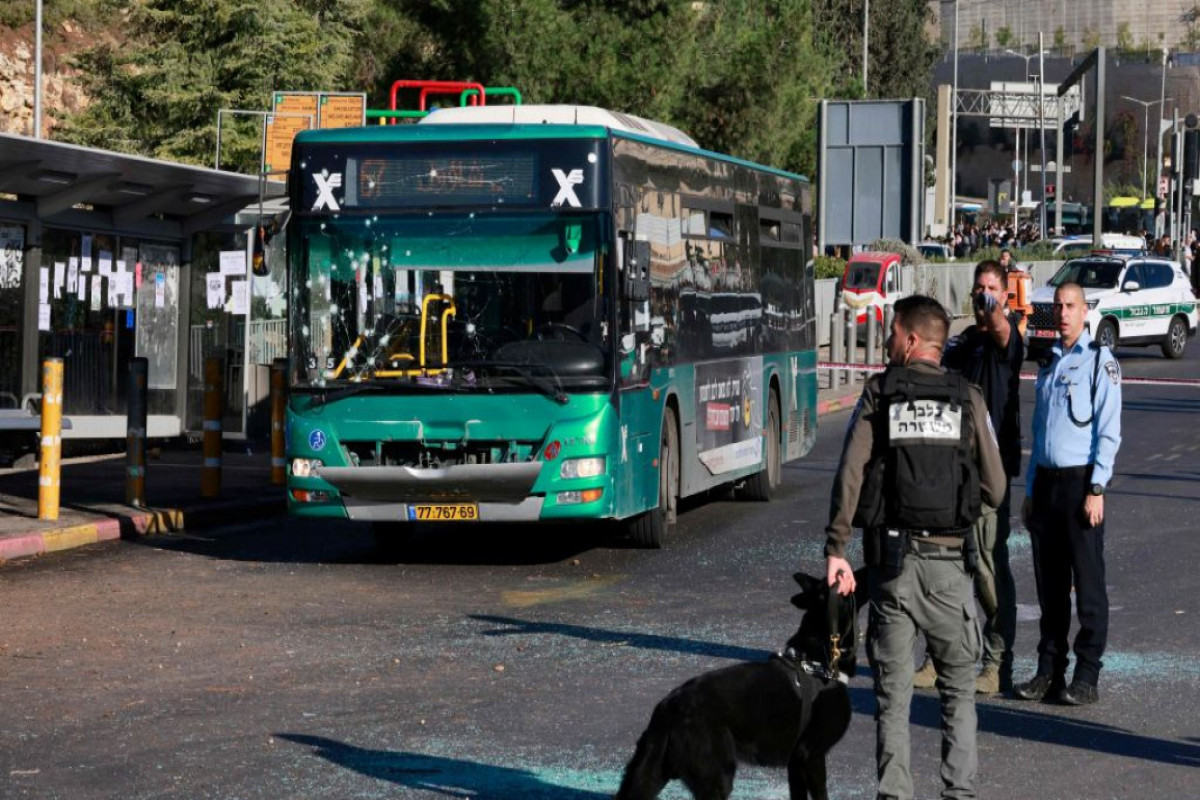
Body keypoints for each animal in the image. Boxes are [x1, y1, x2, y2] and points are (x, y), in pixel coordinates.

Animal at [619, 568, 864, 800]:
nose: (848, 570)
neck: (816, 660)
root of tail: (669, 707)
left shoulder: (795, 766)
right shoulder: (812, 756)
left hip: (647, 776)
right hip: (718, 778)